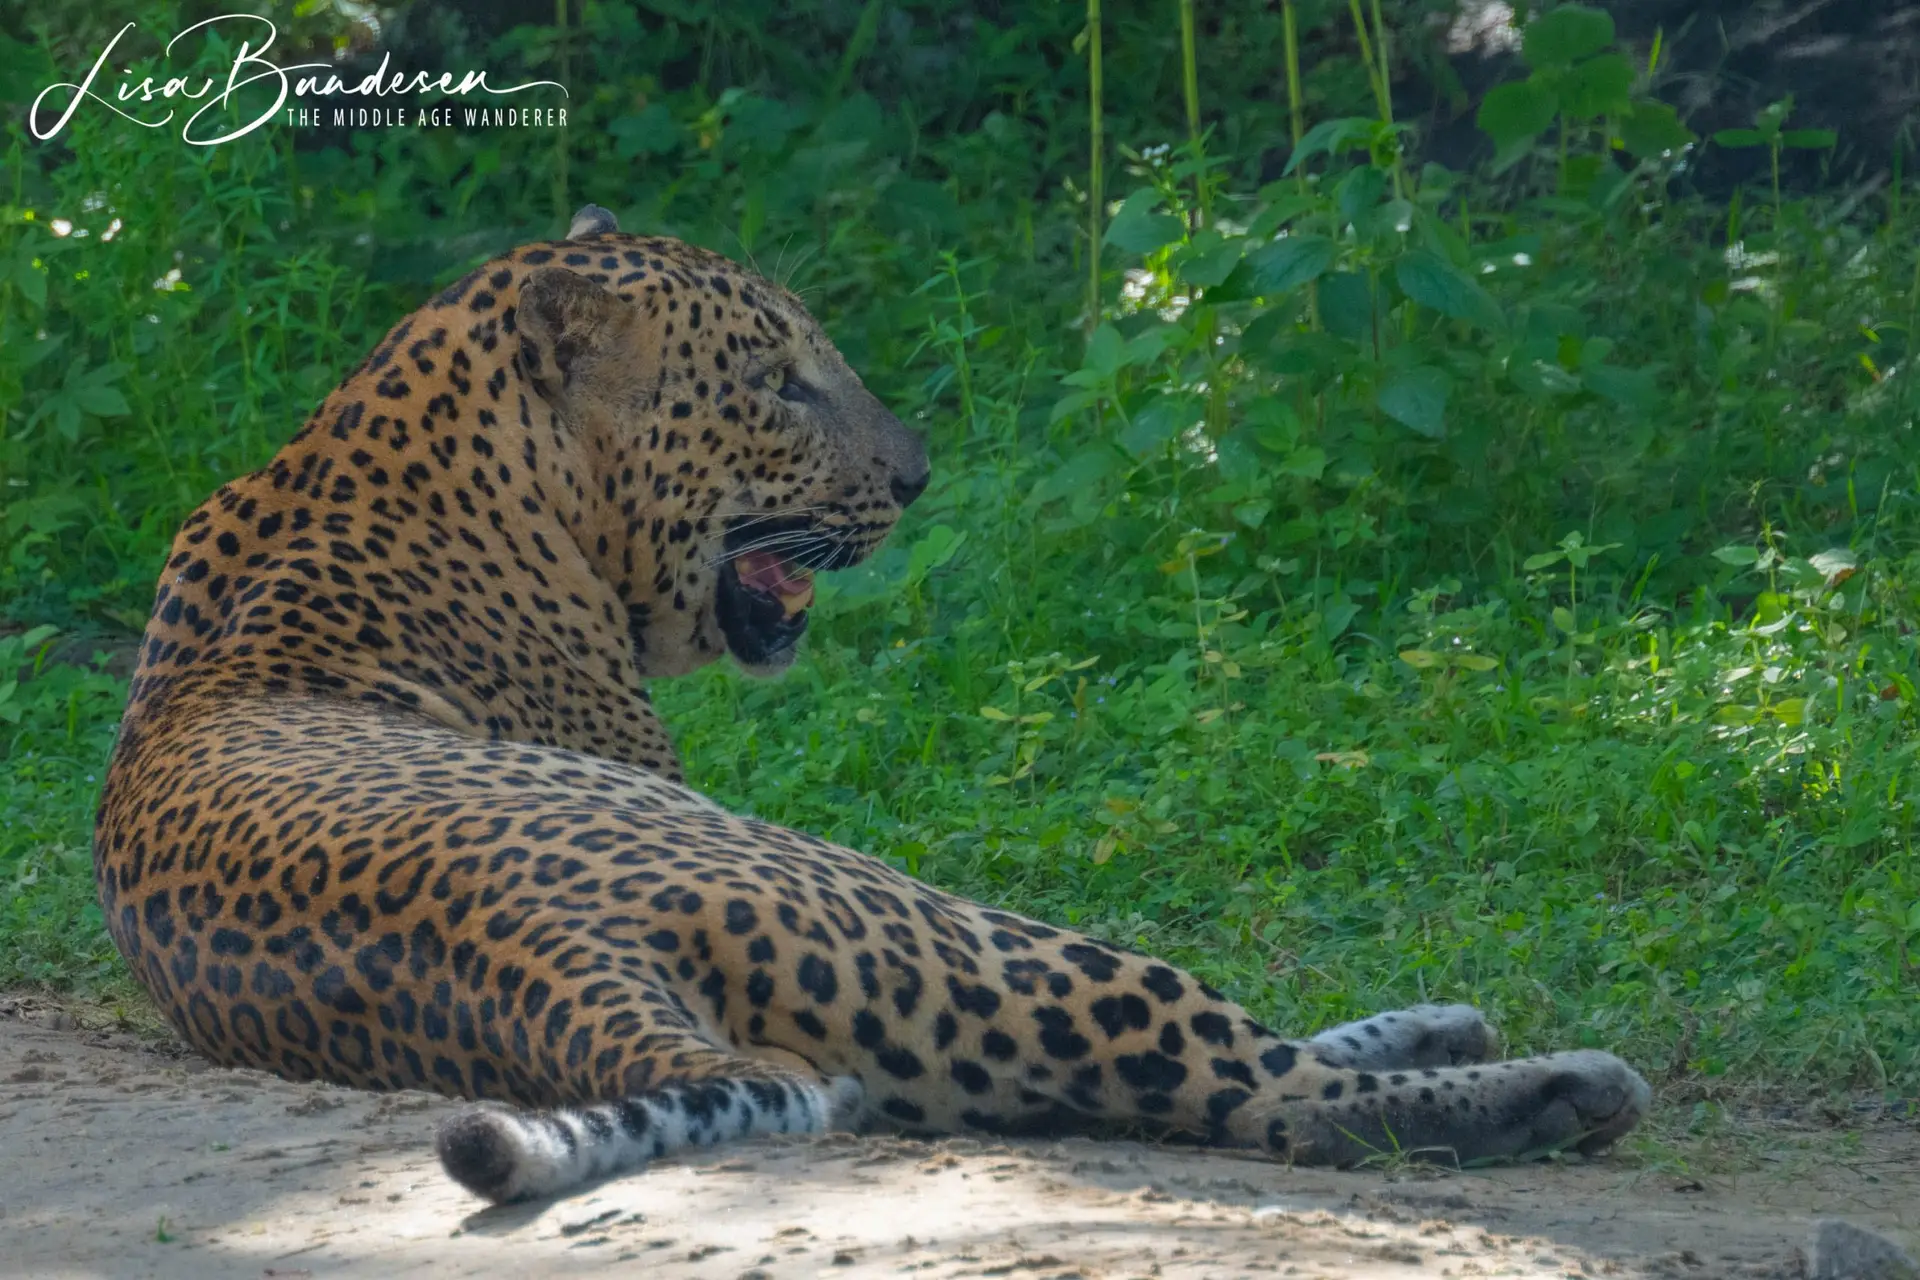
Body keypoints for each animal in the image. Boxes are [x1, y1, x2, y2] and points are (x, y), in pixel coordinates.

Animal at [93, 205, 1651, 1205]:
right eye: (776, 384)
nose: (915, 478)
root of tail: (549, 959)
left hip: (917, 1028)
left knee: (1196, 1081)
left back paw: (1455, 1029)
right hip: (930, 916)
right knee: (1264, 1096)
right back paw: (1567, 1086)